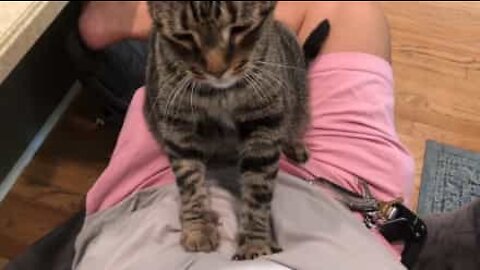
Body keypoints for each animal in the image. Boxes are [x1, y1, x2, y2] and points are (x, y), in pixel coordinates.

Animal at [145, 1, 326, 260]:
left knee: (296, 120)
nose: (217, 70)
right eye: (183, 37)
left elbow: (258, 189)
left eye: (240, 28)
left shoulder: (264, 123)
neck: (219, 94)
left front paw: (255, 243)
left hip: (297, 94)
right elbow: (189, 180)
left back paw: (294, 142)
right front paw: (198, 226)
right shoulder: (177, 126)